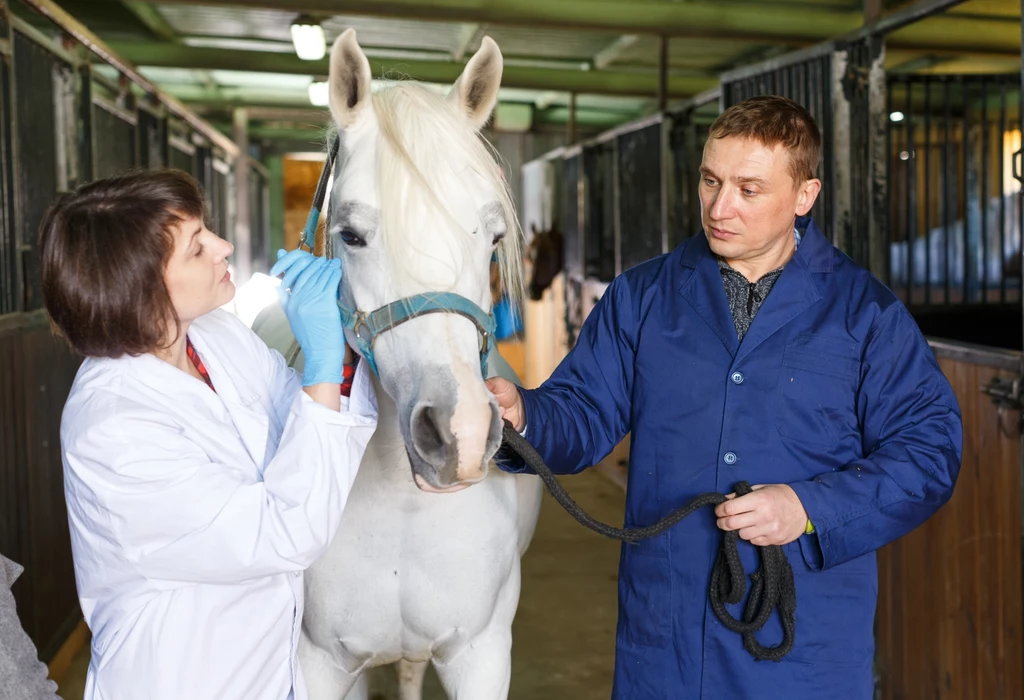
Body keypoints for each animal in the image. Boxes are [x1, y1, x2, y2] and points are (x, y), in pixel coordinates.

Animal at [250, 30, 544, 700]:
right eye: (351, 235)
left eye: (494, 238)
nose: (460, 435)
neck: (403, 504)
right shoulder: (321, 664)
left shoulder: (481, 655)